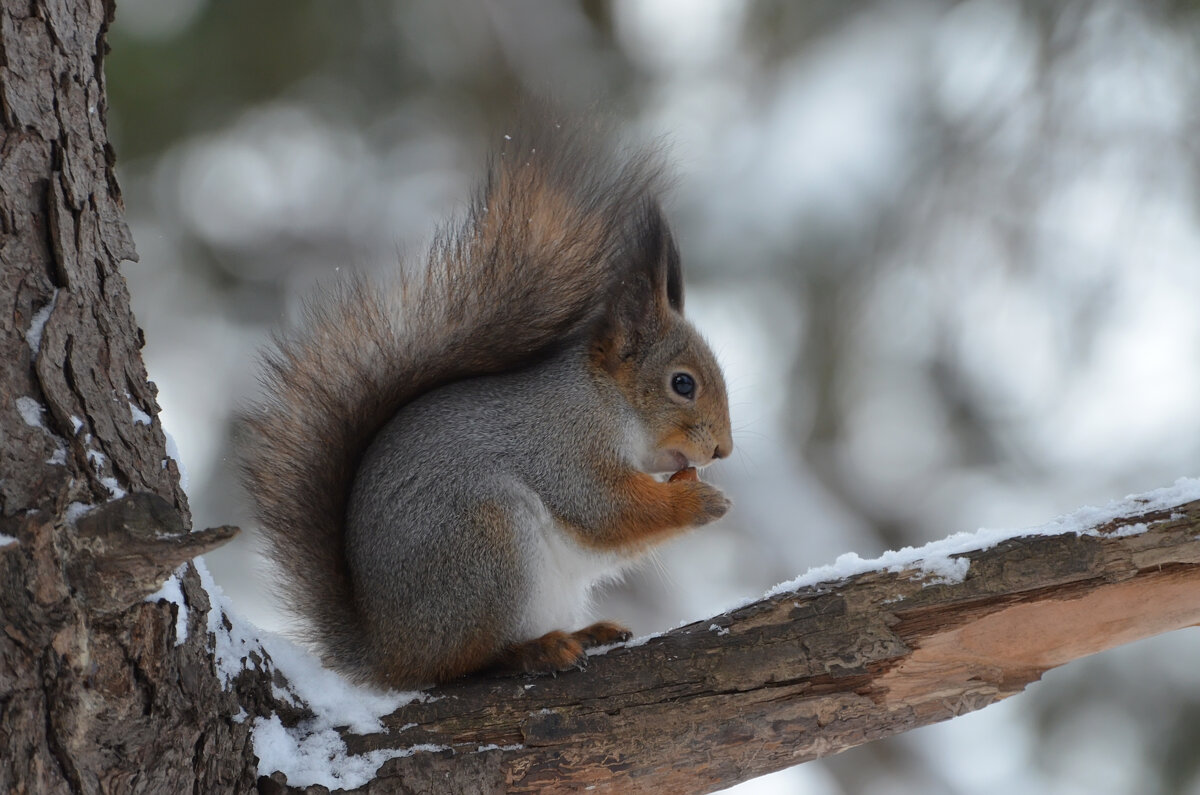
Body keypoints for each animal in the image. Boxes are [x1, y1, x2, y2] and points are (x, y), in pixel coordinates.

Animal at [237, 113, 729, 691]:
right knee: (464, 663)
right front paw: (698, 502)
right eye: (683, 384)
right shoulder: (564, 444)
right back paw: (534, 651)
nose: (722, 451)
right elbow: (604, 508)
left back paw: (586, 632)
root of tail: (387, 651)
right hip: (486, 546)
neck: (606, 400)